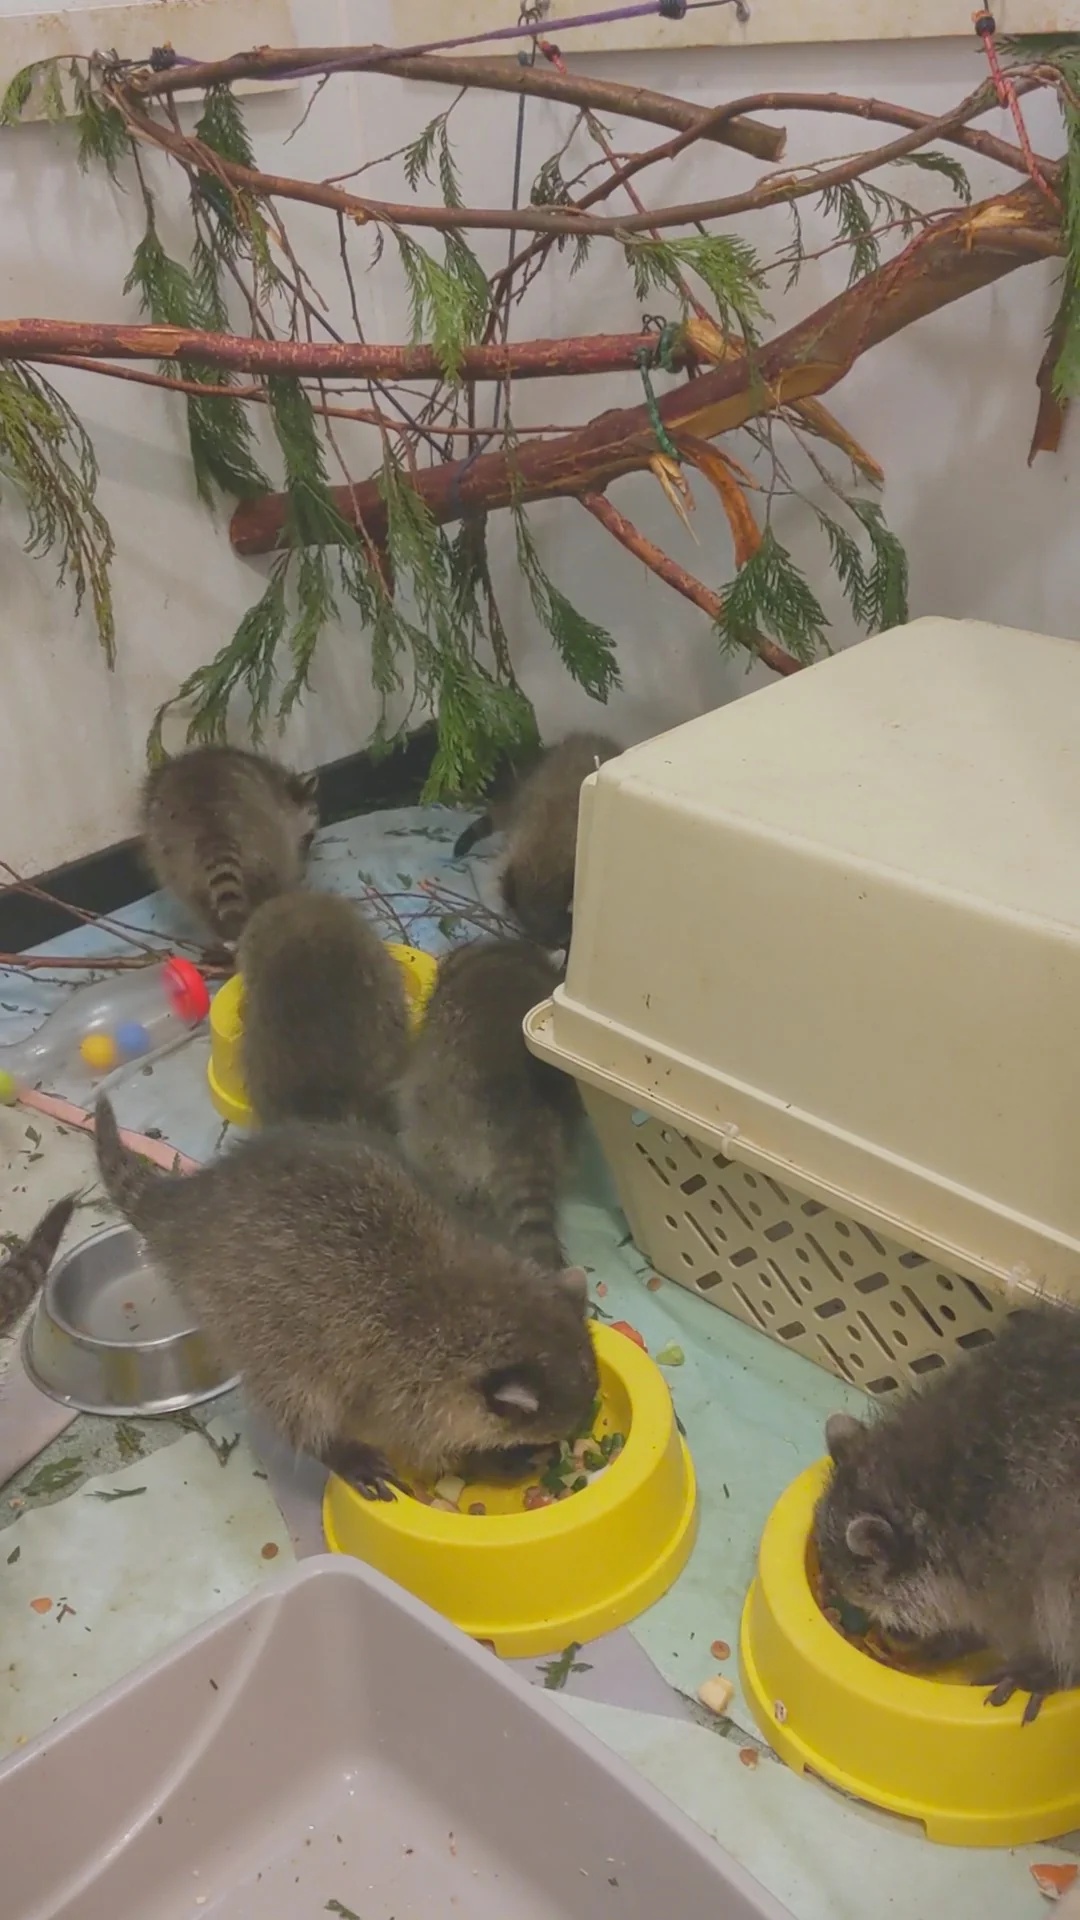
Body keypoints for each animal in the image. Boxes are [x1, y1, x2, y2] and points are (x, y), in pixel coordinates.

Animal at [94, 1099, 598, 1498]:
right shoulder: (404, 1386)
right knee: (293, 1398)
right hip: (247, 1316)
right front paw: (484, 1459)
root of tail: (193, 1203)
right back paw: (333, 1447)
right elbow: (421, 1442)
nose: (563, 1447)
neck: (484, 1307)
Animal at [140, 745, 319, 945]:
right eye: (308, 836)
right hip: (268, 834)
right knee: (274, 879)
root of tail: (210, 820)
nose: (304, 867)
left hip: (171, 856)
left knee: (197, 901)